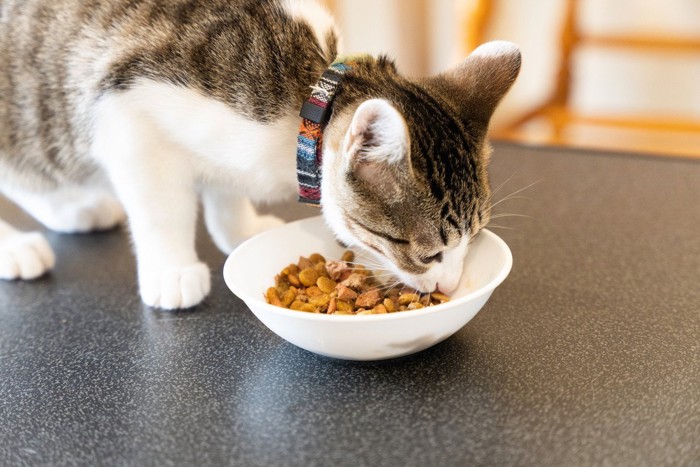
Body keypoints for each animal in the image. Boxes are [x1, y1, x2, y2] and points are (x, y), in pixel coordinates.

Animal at [0, 0, 520, 310]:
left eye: (473, 240)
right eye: (429, 254)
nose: (450, 285)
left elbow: (223, 186)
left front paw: (239, 227)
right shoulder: (125, 114)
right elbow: (161, 209)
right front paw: (172, 270)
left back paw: (73, 208)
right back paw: (16, 249)